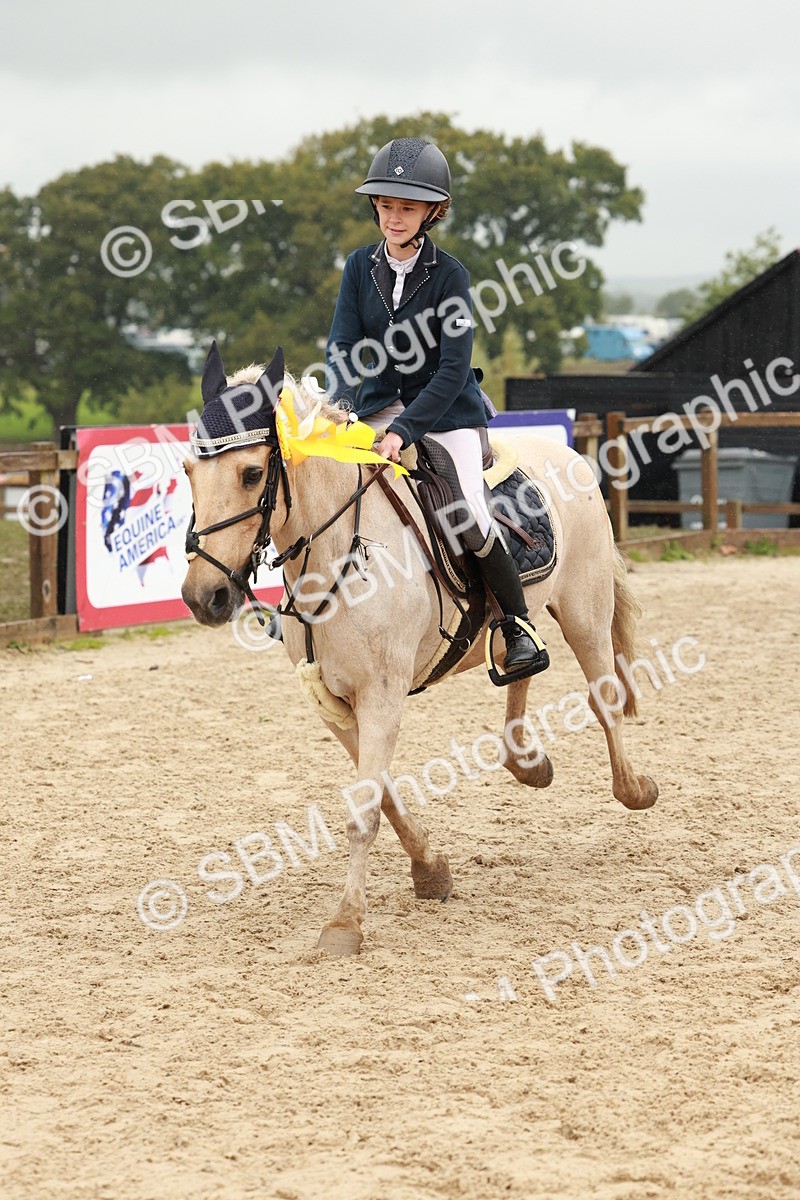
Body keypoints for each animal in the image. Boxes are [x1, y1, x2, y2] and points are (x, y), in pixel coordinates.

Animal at [181, 344, 658, 956]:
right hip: (528, 613)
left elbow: (364, 810)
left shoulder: (381, 693)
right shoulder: (335, 703)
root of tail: (567, 452)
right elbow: (382, 793)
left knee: (603, 698)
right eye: (189, 472)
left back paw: (635, 789)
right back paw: (526, 761)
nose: (204, 597)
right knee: (523, 658)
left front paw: (345, 924)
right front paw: (430, 871)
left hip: (584, 610)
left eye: (251, 473)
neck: (337, 554)